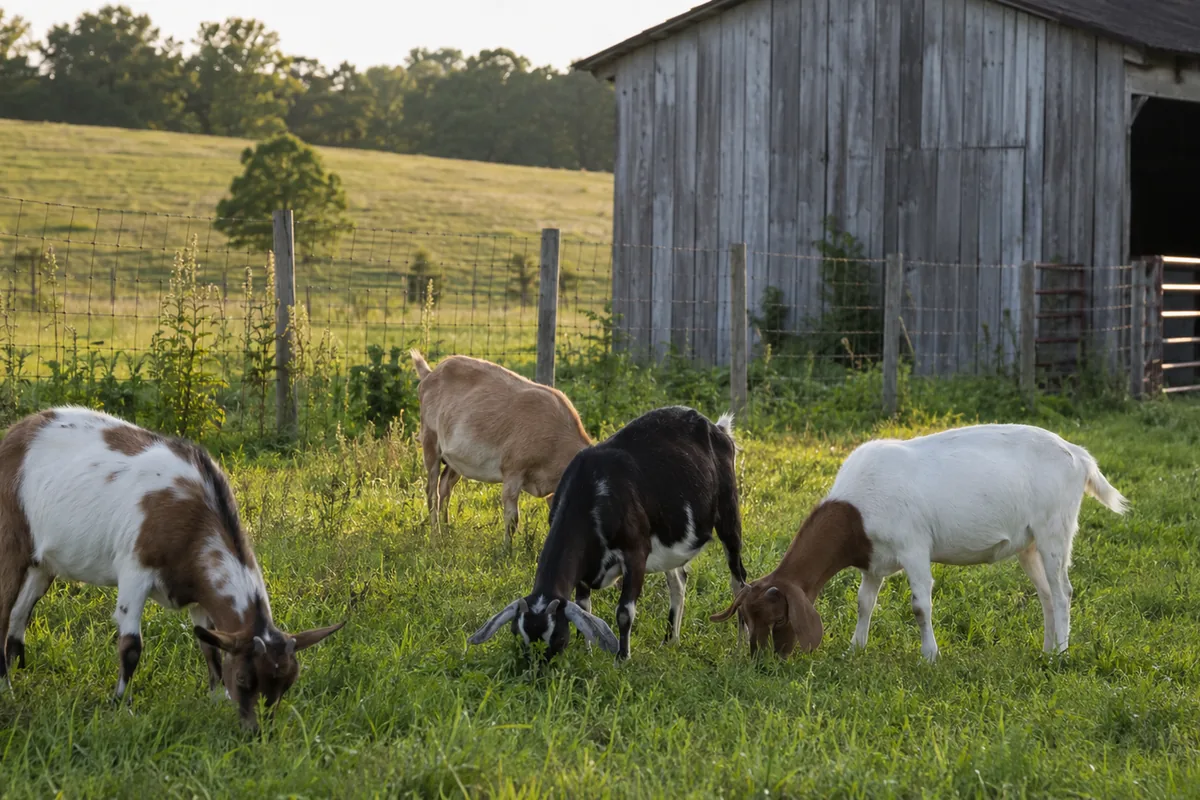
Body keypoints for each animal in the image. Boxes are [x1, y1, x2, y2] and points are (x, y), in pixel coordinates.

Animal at [0, 407, 344, 729]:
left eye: (287, 683)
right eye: (244, 679)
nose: (257, 732)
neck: (194, 517)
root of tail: (16, 431)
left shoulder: (200, 592)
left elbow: (208, 645)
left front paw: (217, 698)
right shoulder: (136, 570)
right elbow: (131, 646)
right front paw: (120, 704)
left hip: (42, 562)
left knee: (21, 611)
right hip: (11, 542)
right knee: (5, 610)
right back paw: (7, 688)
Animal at [410, 350, 592, 546]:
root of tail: (429, 374)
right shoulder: (513, 470)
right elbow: (512, 519)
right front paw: (506, 549)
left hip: (455, 460)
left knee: (445, 485)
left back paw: (448, 530)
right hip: (430, 441)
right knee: (432, 490)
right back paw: (436, 537)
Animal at [467, 406, 748, 660]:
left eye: (556, 637)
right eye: (518, 634)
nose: (535, 669)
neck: (590, 491)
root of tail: (716, 428)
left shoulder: (636, 552)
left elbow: (624, 611)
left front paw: (622, 658)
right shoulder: (585, 569)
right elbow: (584, 607)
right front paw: (586, 651)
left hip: (729, 514)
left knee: (739, 580)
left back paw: (741, 645)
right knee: (678, 580)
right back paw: (670, 640)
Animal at [712, 423, 1127, 661]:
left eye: (779, 618)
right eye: (744, 619)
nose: (762, 662)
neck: (857, 508)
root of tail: (1080, 457)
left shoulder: (913, 547)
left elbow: (919, 605)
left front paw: (930, 655)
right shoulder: (873, 559)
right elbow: (864, 602)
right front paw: (855, 648)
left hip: (1055, 528)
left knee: (1063, 591)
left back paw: (1060, 654)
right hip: (1029, 543)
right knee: (1045, 594)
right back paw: (1046, 648)